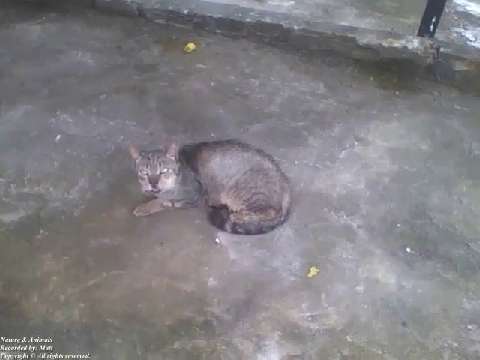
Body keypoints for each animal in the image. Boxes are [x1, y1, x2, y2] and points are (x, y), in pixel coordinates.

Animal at [129, 139, 290, 235]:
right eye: (144, 172)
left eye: (163, 171)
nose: (153, 183)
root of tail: (284, 180)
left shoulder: (195, 194)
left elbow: (165, 201)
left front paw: (147, 206)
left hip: (248, 192)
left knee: (270, 211)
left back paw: (237, 215)